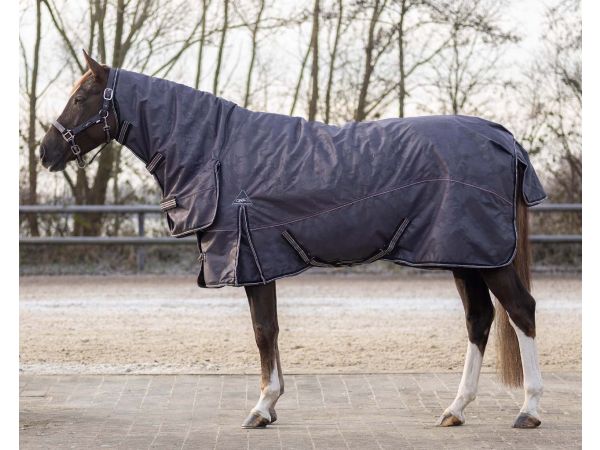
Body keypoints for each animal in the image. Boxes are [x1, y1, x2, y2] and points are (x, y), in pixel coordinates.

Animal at [38, 52, 544, 428]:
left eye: (81, 97)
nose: (46, 151)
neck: (217, 150)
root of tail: (503, 138)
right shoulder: (261, 259)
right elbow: (272, 331)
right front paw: (271, 403)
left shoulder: (252, 258)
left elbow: (263, 331)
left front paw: (262, 407)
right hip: (465, 254)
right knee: (479, 320)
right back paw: (455, 409)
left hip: (488, 257)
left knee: (521, 311)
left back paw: (529, 410)